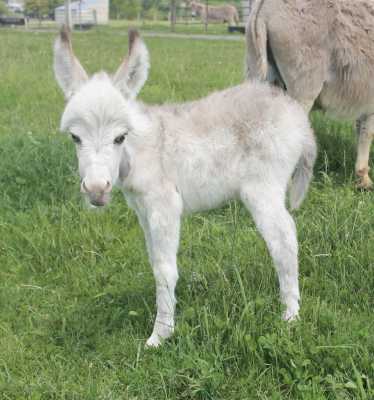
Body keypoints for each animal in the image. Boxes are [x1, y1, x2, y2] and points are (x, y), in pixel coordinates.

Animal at [53, 28, 316, 346]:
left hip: (262, 188)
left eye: (120, 137)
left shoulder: (164, 206)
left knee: (284, 239)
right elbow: (154, 262)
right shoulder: (143, 211)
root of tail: (297, 116)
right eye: (75, 138)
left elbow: (165, 270)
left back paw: (290, 316)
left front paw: (160, 334)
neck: (140, 150)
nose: (96, 190)